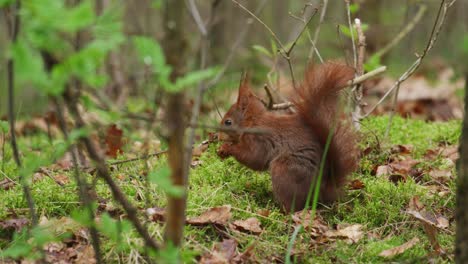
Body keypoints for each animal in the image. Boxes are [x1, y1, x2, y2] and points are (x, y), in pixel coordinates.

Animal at [217, 62, 358, 212]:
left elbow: (254, 158)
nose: (218, 137)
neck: (253, 122)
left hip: (284, 171)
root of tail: (323, 190)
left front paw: (227, 148)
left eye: (228, 122)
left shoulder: (259, 139)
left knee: (293, 206)